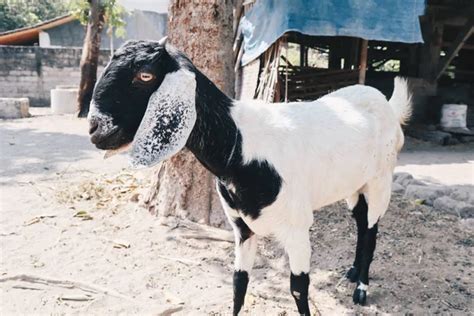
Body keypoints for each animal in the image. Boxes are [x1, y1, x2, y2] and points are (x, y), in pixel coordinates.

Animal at [88, 38, 412, 314]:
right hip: (353, 185)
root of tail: (385, 103)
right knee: (360, 221)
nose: (95, 129)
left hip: (381, 180)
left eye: (145, 76)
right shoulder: (241, 226)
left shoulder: (297, 227)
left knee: (371, 229)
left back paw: (361, 288)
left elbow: (298, 289)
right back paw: (354, 271)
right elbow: (238, 283)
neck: (240, 146)